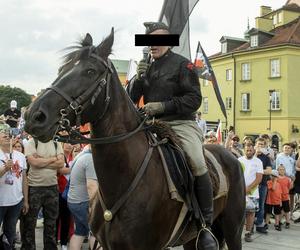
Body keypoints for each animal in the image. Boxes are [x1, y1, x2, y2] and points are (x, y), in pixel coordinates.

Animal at [24, 28, 245, 249]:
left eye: (90, 71)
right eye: (62, 69)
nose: (34, 116)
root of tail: (230, 155)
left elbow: (193, 95)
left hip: (233, 230)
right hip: (191, 239)